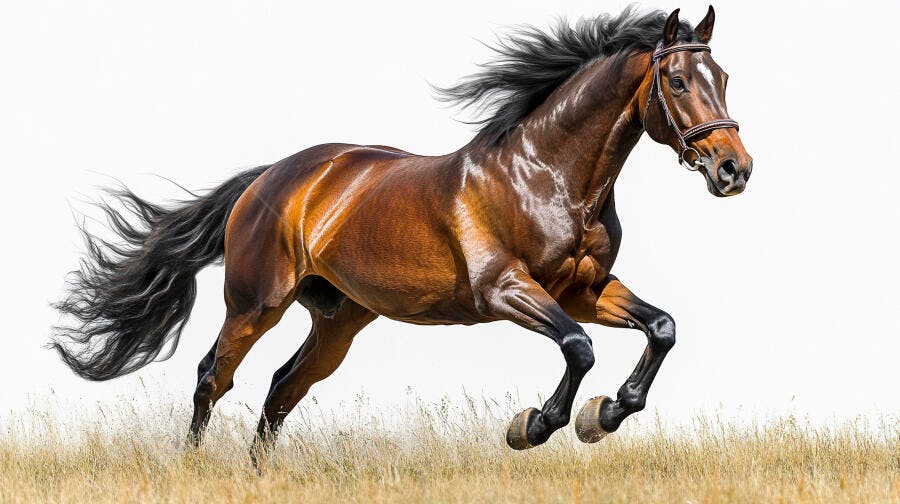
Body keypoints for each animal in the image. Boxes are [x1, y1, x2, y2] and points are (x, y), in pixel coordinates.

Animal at [52, 6, 751, 456]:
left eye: (724, 79)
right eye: (679, 81)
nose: (734, 169)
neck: (547, 176)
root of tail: (268, 179)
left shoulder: (584, 290)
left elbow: (661, 328)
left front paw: (603, 414)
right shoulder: (506, 291)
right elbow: (579, 349)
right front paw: (536, 425)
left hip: (339, 320)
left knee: (281, 389)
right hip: (255, 305)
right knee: (211, 378)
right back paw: (197, 466)